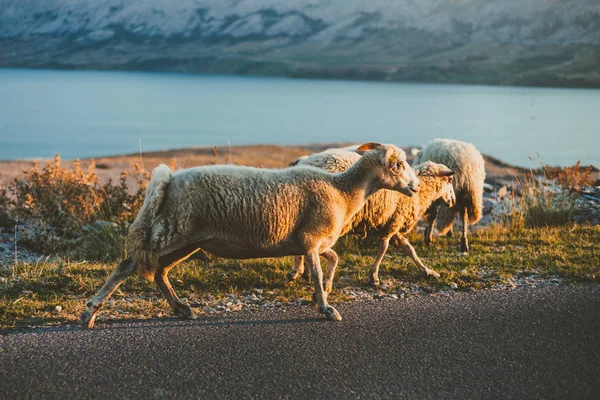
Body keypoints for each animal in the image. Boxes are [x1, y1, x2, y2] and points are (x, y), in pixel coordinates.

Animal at [82, 142, 422, 326]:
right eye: (399, 164)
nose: (417, 186)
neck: (343, 190)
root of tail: (167, 181)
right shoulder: (311, 238)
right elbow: (314, 270)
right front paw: (325, 307)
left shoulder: (309, 241)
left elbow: (334, 258)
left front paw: (324, 289)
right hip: (171, 231)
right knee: (127, 265)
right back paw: (90, 314)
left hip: (186, 239)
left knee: (158, 273)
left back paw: (181, 309)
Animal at [288, 148, 454, 286]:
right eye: (450, 180)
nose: (452, 202)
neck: (420, 193)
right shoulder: (393, 222)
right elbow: (383, 248)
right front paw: (373, 276)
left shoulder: (394, 224)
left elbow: (409, 249)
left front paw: (427, 271)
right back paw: (300, 271)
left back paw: (299, 271)